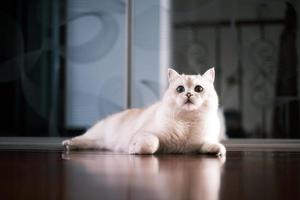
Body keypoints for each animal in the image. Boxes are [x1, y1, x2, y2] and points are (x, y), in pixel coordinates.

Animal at [62, 68, 225, 155]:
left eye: (199, 89)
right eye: (180, 89)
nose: (189, 94)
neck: (187, 123)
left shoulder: (201, 142)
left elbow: (213, 145)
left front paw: (217, 151)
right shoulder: (145, 133)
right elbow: (151, 144)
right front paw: (134, 149)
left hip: (99, 142)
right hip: (97, 132)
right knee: (82, 137)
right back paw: (67, 143)